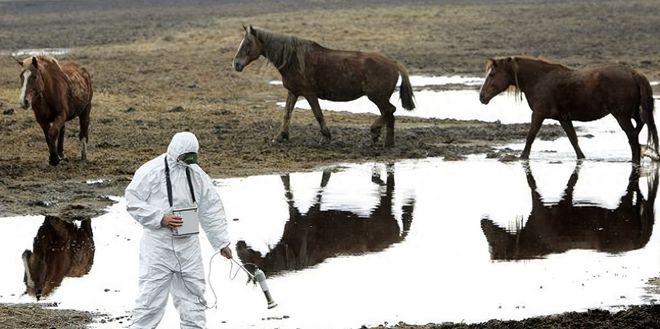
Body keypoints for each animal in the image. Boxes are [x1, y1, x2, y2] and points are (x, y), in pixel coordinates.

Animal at [235, 25, 416, 147]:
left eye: (248, 43)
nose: (236, 64)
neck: (294, 60)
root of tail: (393, 63)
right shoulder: (293, 92)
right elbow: (287, 114)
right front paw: (280, 137)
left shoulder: (309, 94)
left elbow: (318, 114)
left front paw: (326, 137)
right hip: (379, 98)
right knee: (389, 114)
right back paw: (386, 142)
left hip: (377, 97)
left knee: (390, 111)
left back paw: (375, 132)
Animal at [476, 56, 656, 164]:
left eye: (492, 74)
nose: (482, 97)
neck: (539, 80)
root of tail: (634, 73)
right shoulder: (564, 118)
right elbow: (574, 141)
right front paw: (582, 159)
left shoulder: (538, 115)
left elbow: (530, 136)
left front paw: (522, 158)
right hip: (632, 113)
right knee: (639, 127)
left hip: (621, 116)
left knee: (633, 137)